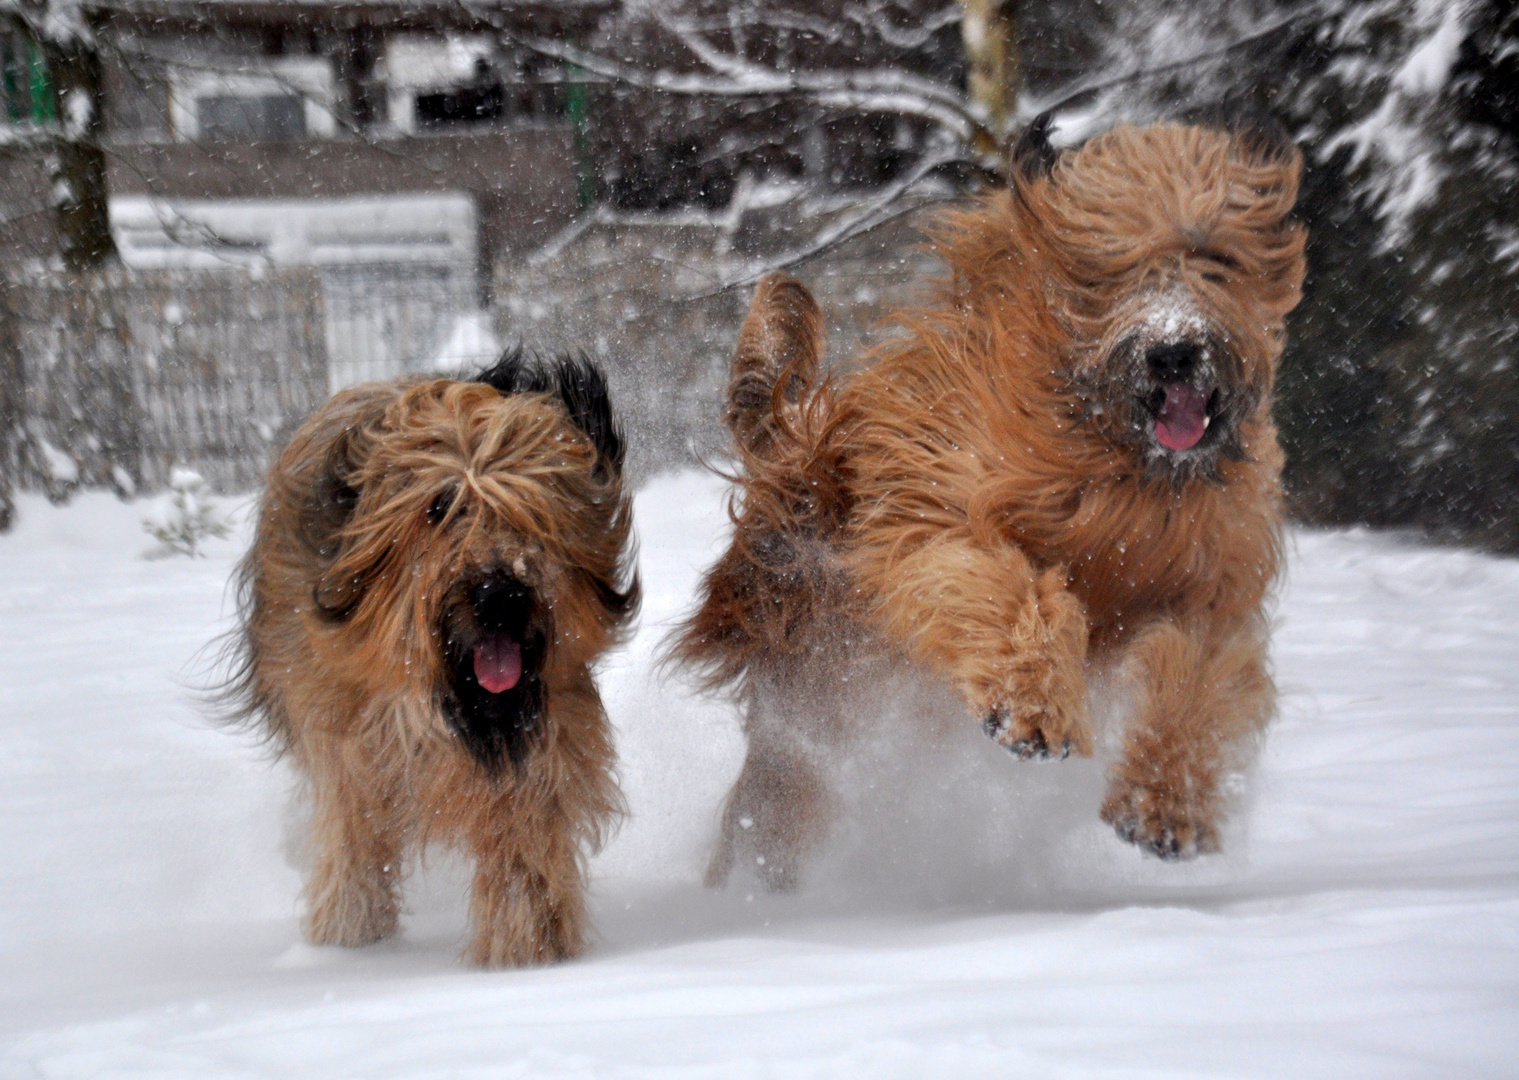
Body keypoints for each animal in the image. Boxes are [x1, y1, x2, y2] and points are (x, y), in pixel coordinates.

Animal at [229, 356, 641, 972]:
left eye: (532, 510)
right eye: (440, 508)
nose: (501, 597)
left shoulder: (538, 749)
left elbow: (522, 847)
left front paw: (528, 955)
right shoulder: (347, 744)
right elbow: (355, 837)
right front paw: (350, 939)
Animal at [674, 122, 1306, 893]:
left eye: (1213, 256)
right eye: (1114, 269)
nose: (1173, 351)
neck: (1121, 474)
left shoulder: (1211, 584)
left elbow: (1197, 676)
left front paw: (1165, 807)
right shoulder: (940, 495)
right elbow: (1002, 589)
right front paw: (1033, 710)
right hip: (818, 696)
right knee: (778, 802)